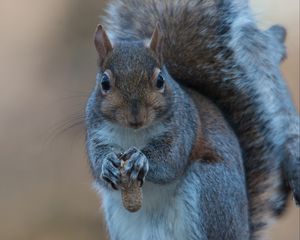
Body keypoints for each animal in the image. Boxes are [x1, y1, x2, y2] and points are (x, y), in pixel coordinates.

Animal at [85, 0, 298, 240]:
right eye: (104, 83)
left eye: (160, 80)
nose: (135, 117)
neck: (134, 133)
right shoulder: (96, 132)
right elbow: (96, 161)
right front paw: (107, 165)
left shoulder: (182, 128)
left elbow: (171, 160)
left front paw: (141, 158)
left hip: (209, 190)